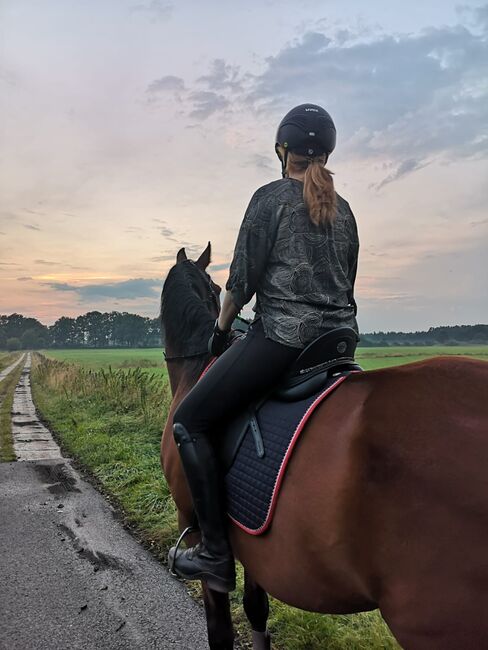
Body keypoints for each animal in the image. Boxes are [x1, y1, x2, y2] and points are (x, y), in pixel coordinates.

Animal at [161, 244, 488, 648]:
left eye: (217, 289)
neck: (195, 369)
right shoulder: (250, 536)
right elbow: (256, 609)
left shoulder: (194, 524)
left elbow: (219, 630)